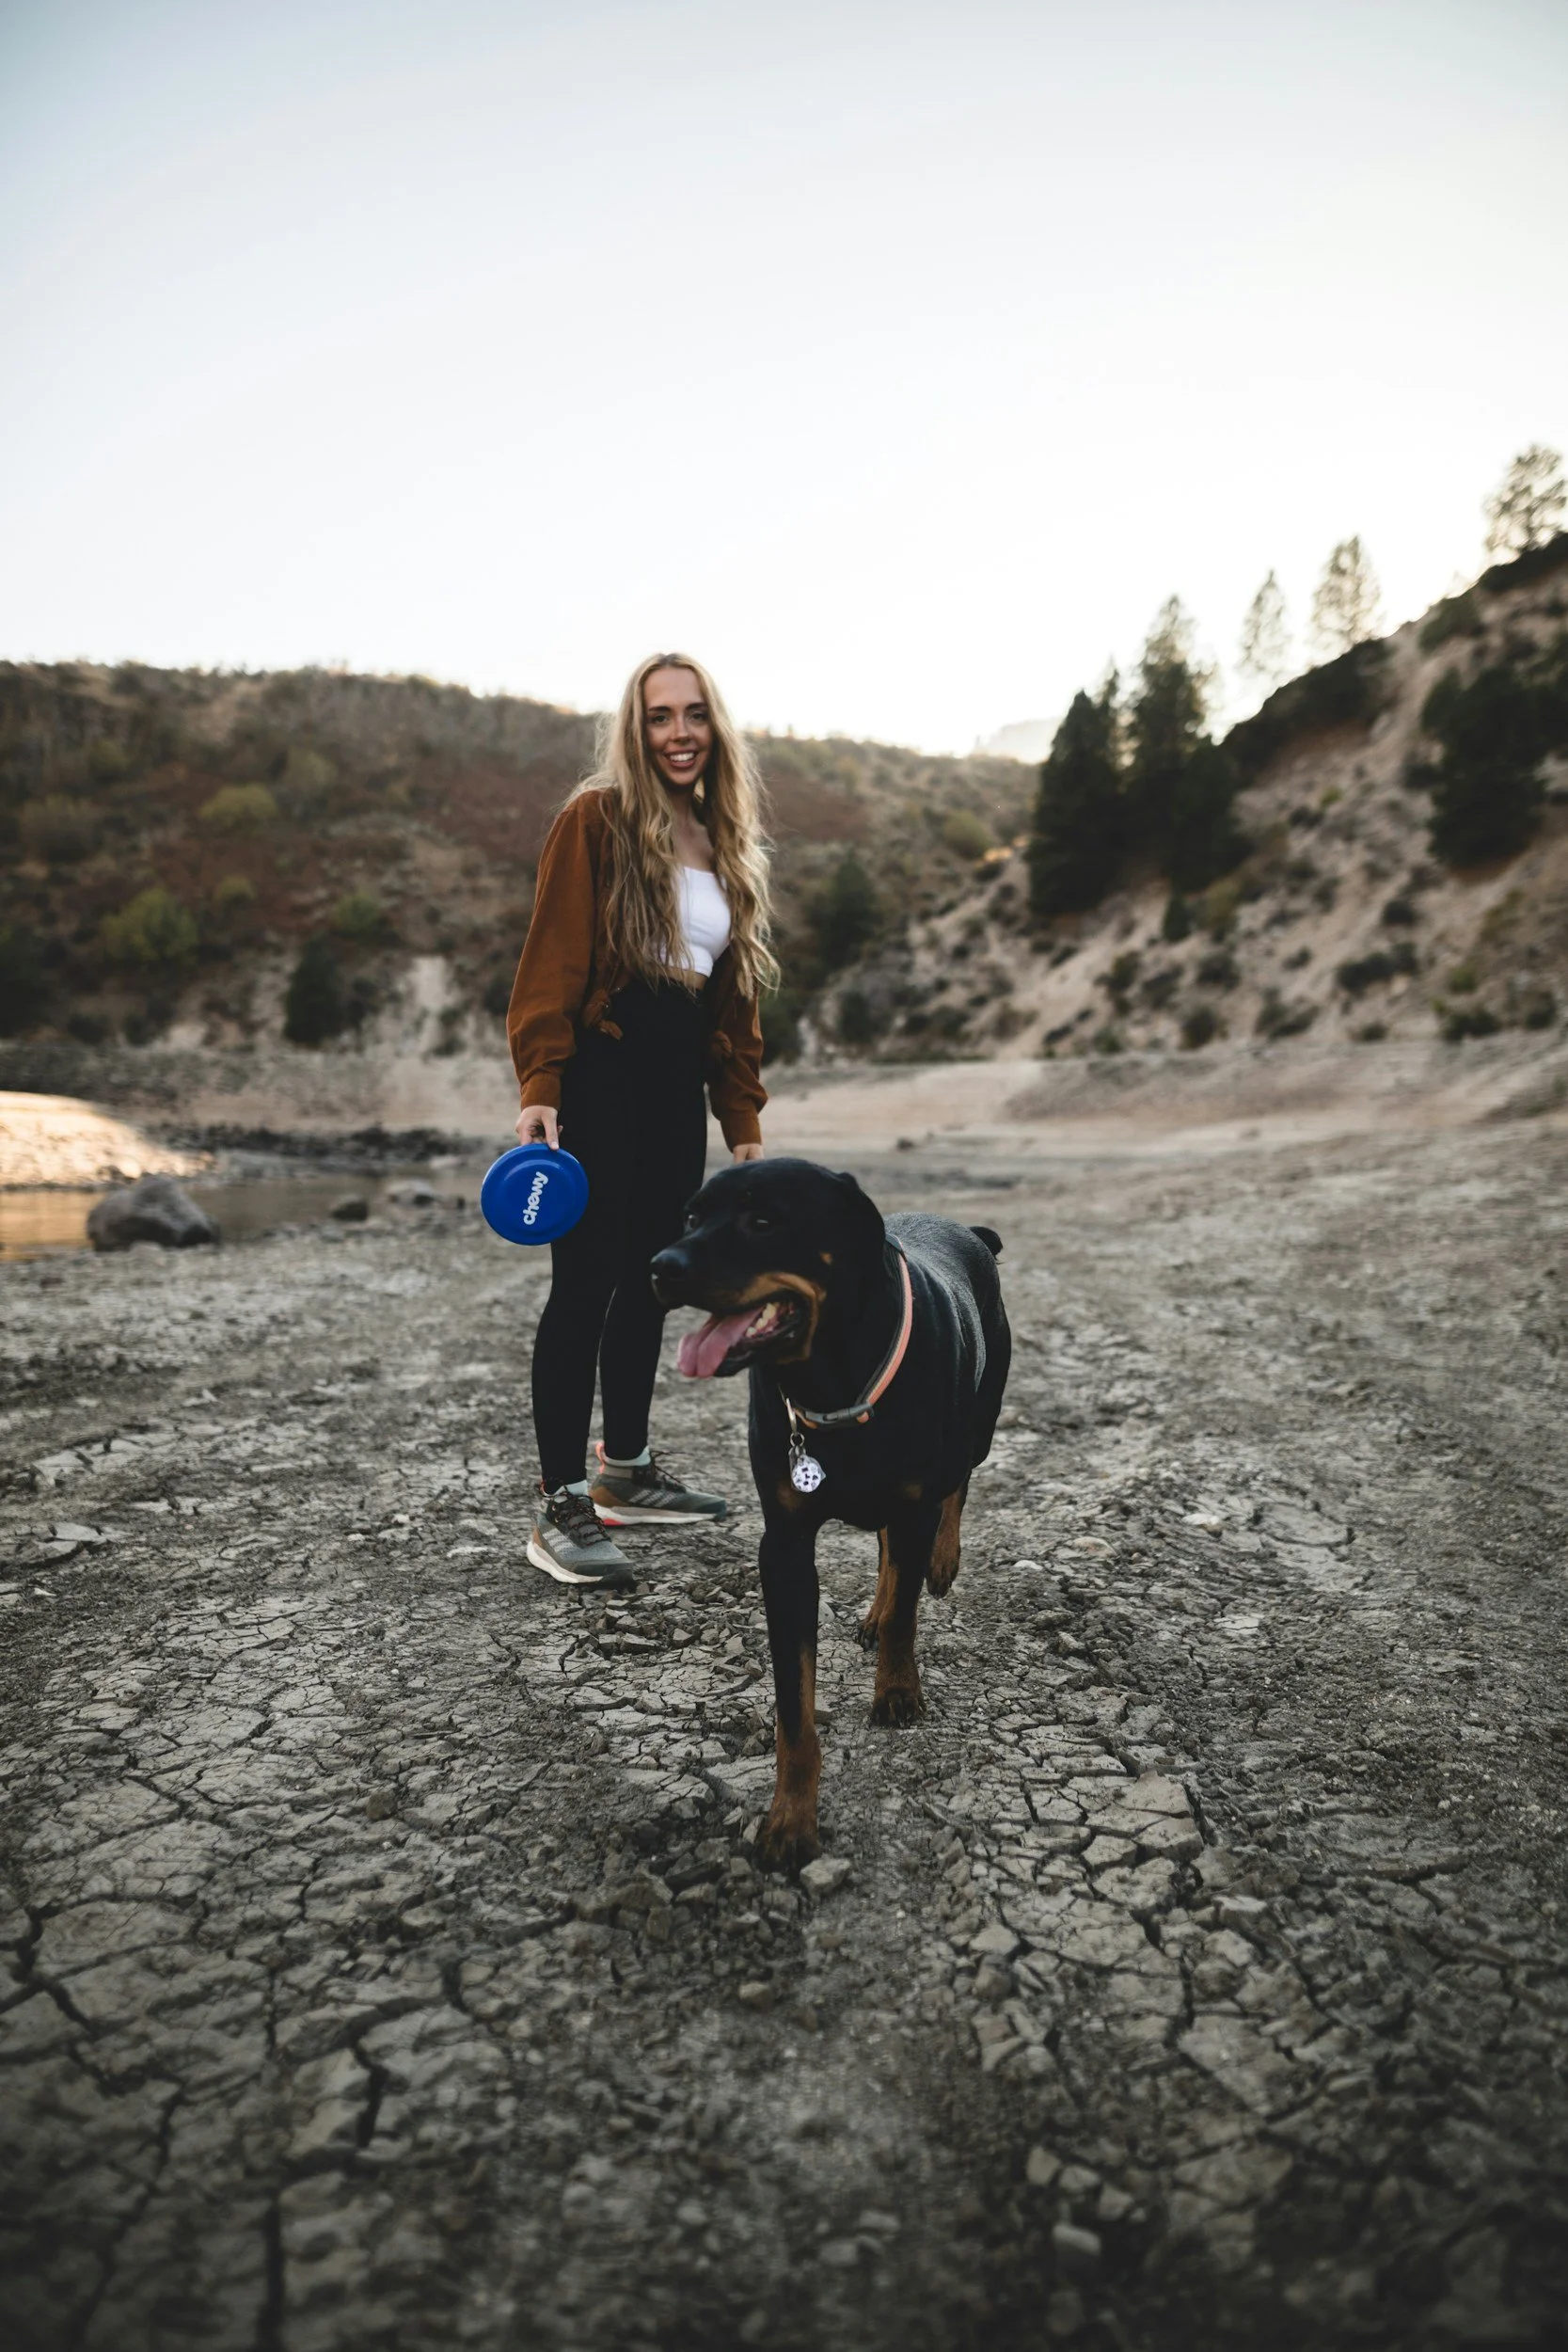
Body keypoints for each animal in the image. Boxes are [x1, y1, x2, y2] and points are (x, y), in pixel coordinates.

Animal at [651, 1157, 1010, 1871]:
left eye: (763, 1220)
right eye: (691, 1216)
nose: (660, 1266)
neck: (832, 1378)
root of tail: (971, 1232)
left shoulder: (915, 1498)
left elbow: (907, 1610)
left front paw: (896, 1691)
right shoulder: (785, 1545)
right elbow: (794, 1703)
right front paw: (790, 1819)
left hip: (977, 1424)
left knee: (953, 1492)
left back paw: (941, 1562)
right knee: (888, 1548)